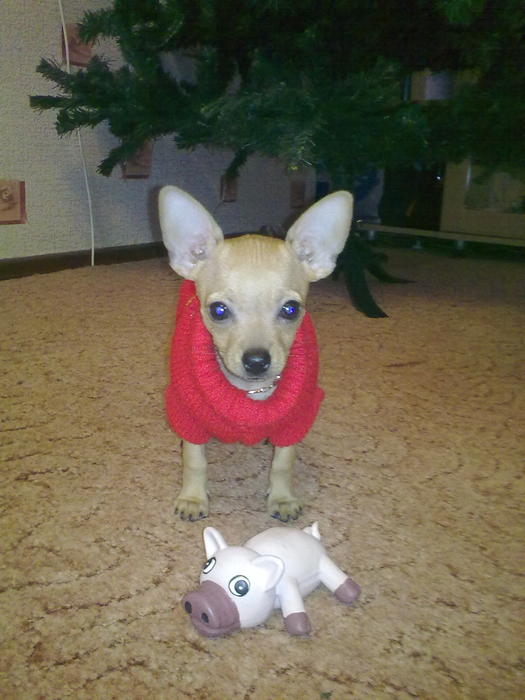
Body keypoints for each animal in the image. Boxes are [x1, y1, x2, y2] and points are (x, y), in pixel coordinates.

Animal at [159, 186, 353, 521]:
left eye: (291, 310)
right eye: (218, 311)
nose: (257, 360)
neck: (250, 391)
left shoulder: (295, 422)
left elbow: (283, 463)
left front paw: (282, 498)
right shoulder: (188, 415)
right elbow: (195, 461)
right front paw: (193, 498)